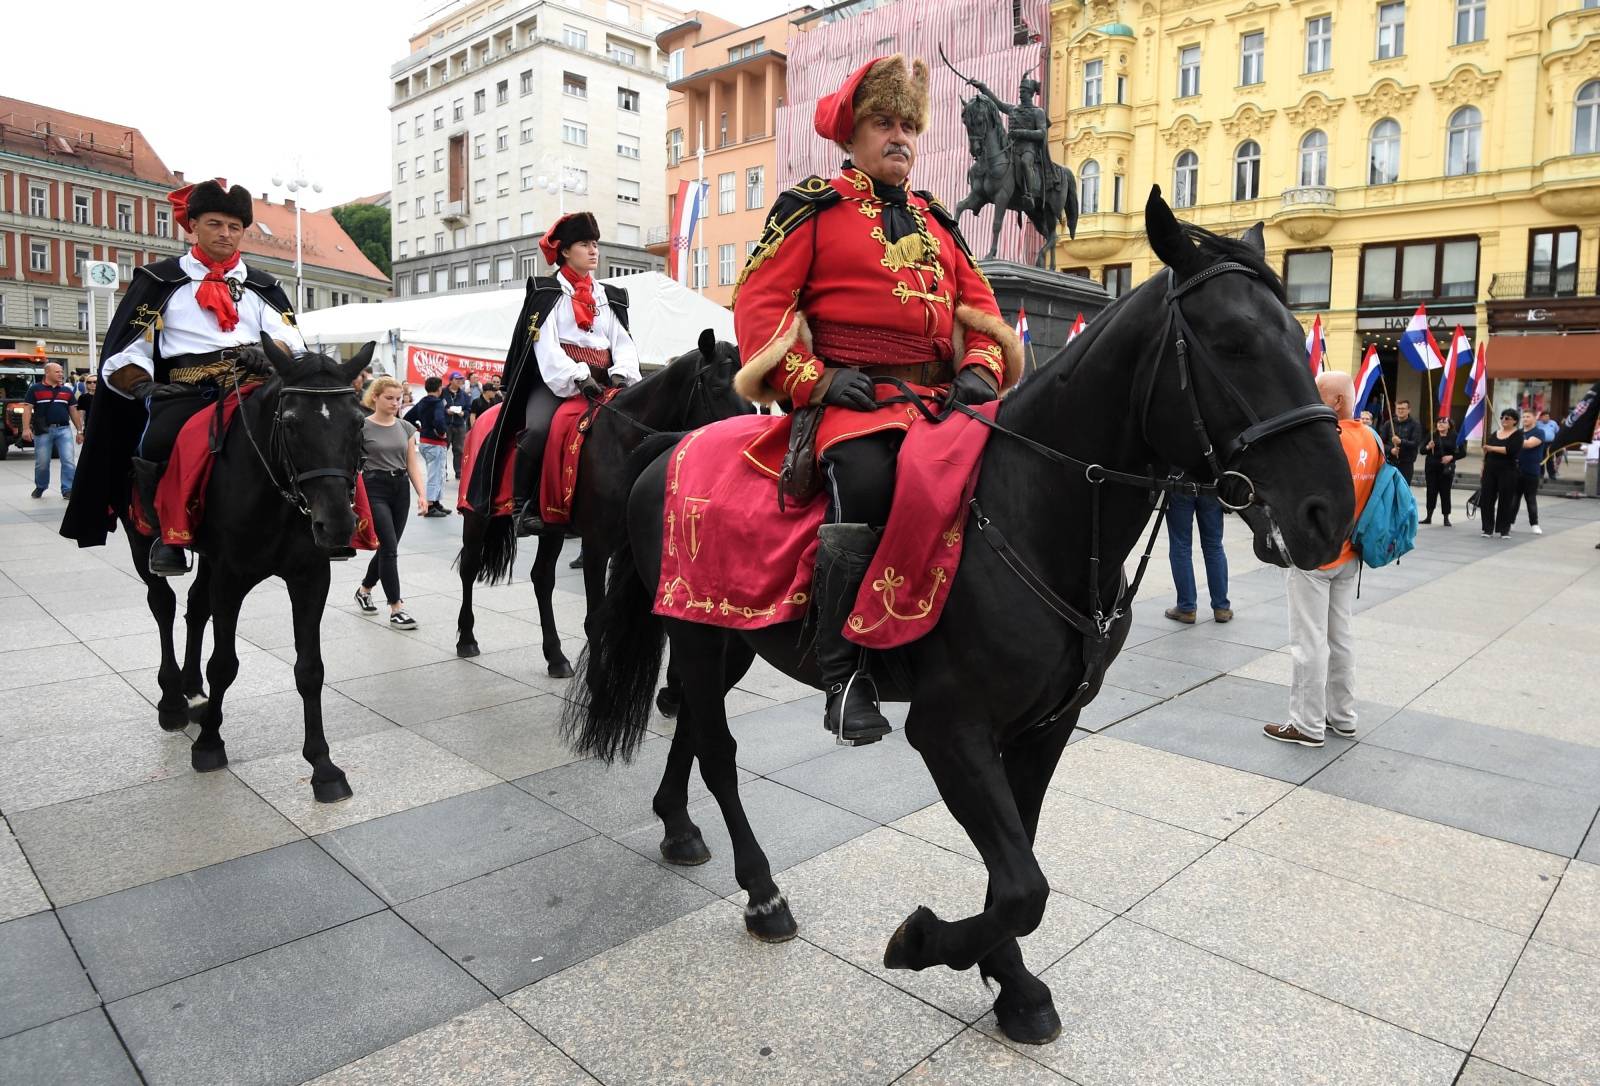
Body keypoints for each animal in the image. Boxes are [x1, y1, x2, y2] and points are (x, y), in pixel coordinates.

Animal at [132, 339, 372, 806]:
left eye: (358, 421)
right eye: (292, 423)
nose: (337, 524)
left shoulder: (309, 579)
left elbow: (310, 669)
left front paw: (323, 767)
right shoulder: (232, 577)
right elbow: (224, 664)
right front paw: (209, 744)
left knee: (195, 607)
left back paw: (193, 691)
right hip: (141, 535)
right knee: (163, 605)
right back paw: (172, 700)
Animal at [451, 331, 748, 671]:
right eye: (717, 389)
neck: (624, 439)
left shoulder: (626, 545)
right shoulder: (596, 543)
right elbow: (595, 618)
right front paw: (594, 680)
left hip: (552, 526)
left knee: (542, 578)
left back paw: (555, 656)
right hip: (476, 515)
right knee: (469, 568)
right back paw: (467, 639)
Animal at [566, 191, 1363, 1049]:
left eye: (1298, 337)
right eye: (1235, 341)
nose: (1327, 512)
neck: (1033, 510)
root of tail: (664, 450)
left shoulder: (1046, 725)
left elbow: (1019, 860)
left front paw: (1010, 985)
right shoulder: (950, 730)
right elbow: (1021, 886)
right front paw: (924, 944)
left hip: (729, 636)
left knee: (691, 725)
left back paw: (677, 826)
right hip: (699, 634)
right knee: (716, 748)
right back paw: (764, 893)